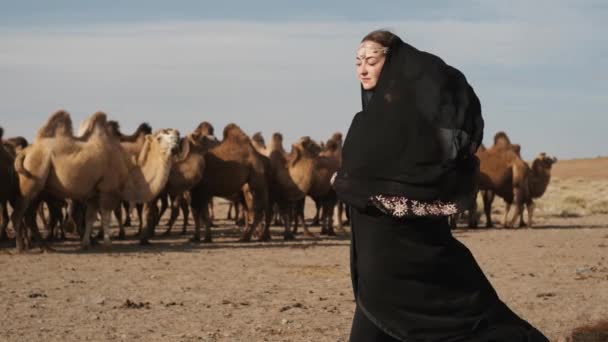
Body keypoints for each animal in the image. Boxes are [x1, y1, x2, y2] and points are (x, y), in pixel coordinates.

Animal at [11, 111, 178, 250]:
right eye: (159, 138)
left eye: (176, 135)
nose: (176, 145)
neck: (128, 170)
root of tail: (25, 152)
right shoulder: (107, 190)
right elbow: (106, 215)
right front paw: (107, 243)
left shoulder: (94, 194)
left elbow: (90, 217)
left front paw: (86, 242)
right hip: (32, 178)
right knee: (19, 213)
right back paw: (21, 247)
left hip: (39, 189)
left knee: (29, 216)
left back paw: (45, 247)